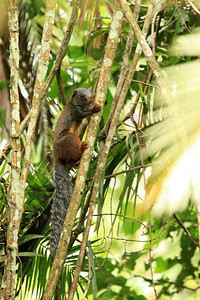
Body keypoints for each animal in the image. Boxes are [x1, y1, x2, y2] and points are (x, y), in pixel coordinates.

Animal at [49, 88, 100, 258]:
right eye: (82, 96)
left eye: (90, 93)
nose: (91, 99)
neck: (73, 103)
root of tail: (57, 157)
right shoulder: (75, 112)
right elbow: (83, 114)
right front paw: (94, 109)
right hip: (70, 138)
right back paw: (82, 150)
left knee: (71, 161)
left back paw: (77, 161)